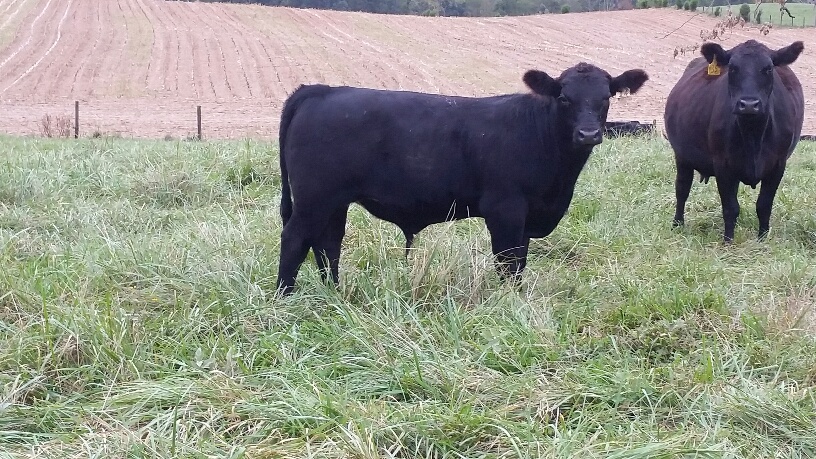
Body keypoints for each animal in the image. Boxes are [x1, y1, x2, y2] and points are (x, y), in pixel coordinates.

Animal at [278, 63, 648, 294]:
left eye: (606, 98)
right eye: (564, 97)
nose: (588, 134)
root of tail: (320, 90)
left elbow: (520, 259)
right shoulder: (506, 208)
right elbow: (508, 261)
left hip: (333, 201)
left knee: (328, 243)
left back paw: (334, 293)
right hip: (314, 198)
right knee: (296, 239)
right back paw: (286, 297)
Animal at [668, 38, 808, 244]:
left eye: (768, 68)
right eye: (733, 68)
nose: (748, 104)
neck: (753, 136)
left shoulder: (778, 165)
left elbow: (764, 205)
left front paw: (762, 240)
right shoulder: (723, 165)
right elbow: (730, 207)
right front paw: (728, 242)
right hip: (682, 156)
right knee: (682, 189)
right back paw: (677, 224)